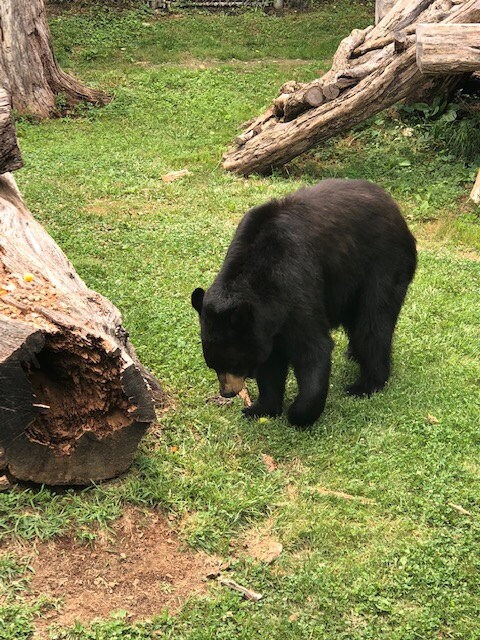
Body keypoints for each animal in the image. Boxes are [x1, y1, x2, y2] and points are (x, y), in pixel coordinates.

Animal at [191, 178, 416, 428]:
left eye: (234, 364)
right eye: (212, 364)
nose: (227, 392)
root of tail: (393, 206)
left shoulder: (295, 283)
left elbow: (312, 349)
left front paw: (298, 414)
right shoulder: (266, 322)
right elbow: (271, 362)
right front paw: (260, 408)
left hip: (383, 263)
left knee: (374, 321)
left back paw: (365, 385)